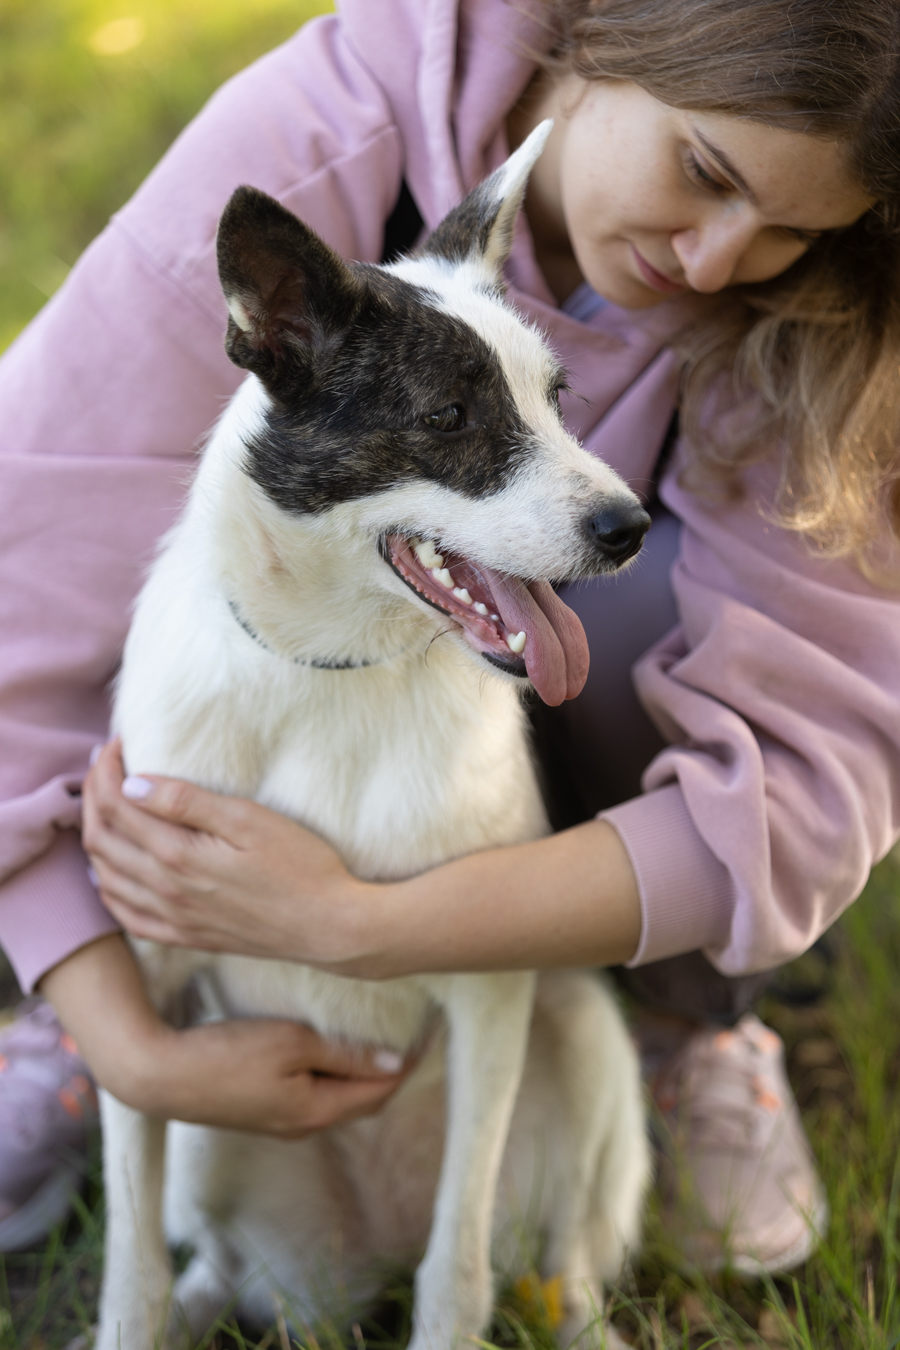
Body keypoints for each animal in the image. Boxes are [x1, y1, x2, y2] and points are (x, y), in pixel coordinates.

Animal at [98, 124, 655, 1350]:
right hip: (211, 1142)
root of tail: (365, 1255)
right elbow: (130, 1262)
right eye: (448, 417)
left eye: (559, 398)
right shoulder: (152, 988)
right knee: (201, 1261)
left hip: (586, 1036)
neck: (335, 675)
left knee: (556, 1257)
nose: (629, 527)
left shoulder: (492, 994)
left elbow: (459, 1263)